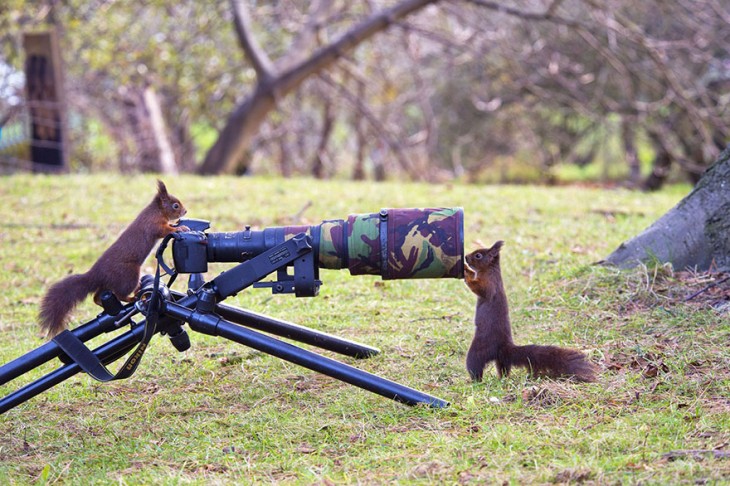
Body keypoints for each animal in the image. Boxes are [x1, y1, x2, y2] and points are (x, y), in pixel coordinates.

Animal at [39, 180, 188, 340]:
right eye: (175, 205)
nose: (185, 212)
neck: (157, 211)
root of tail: (96, 274)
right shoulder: (153, 225)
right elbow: (164, 230)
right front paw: (179, 228)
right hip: (129, 274)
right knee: (121, 293)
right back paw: (133, 298)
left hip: (107, 284)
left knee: (96, 296)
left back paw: (102, 301)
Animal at [464, 241, 596, 382]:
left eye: (478, 255)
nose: (466, 257)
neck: (489, 270)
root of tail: (504, 347)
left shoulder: (490, 284)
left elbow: (480, 288)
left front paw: (466, 273)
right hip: (501, 360)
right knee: (504, 368)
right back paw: (502, 379)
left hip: (479, 350)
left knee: (475, 366)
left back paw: (474, 380)